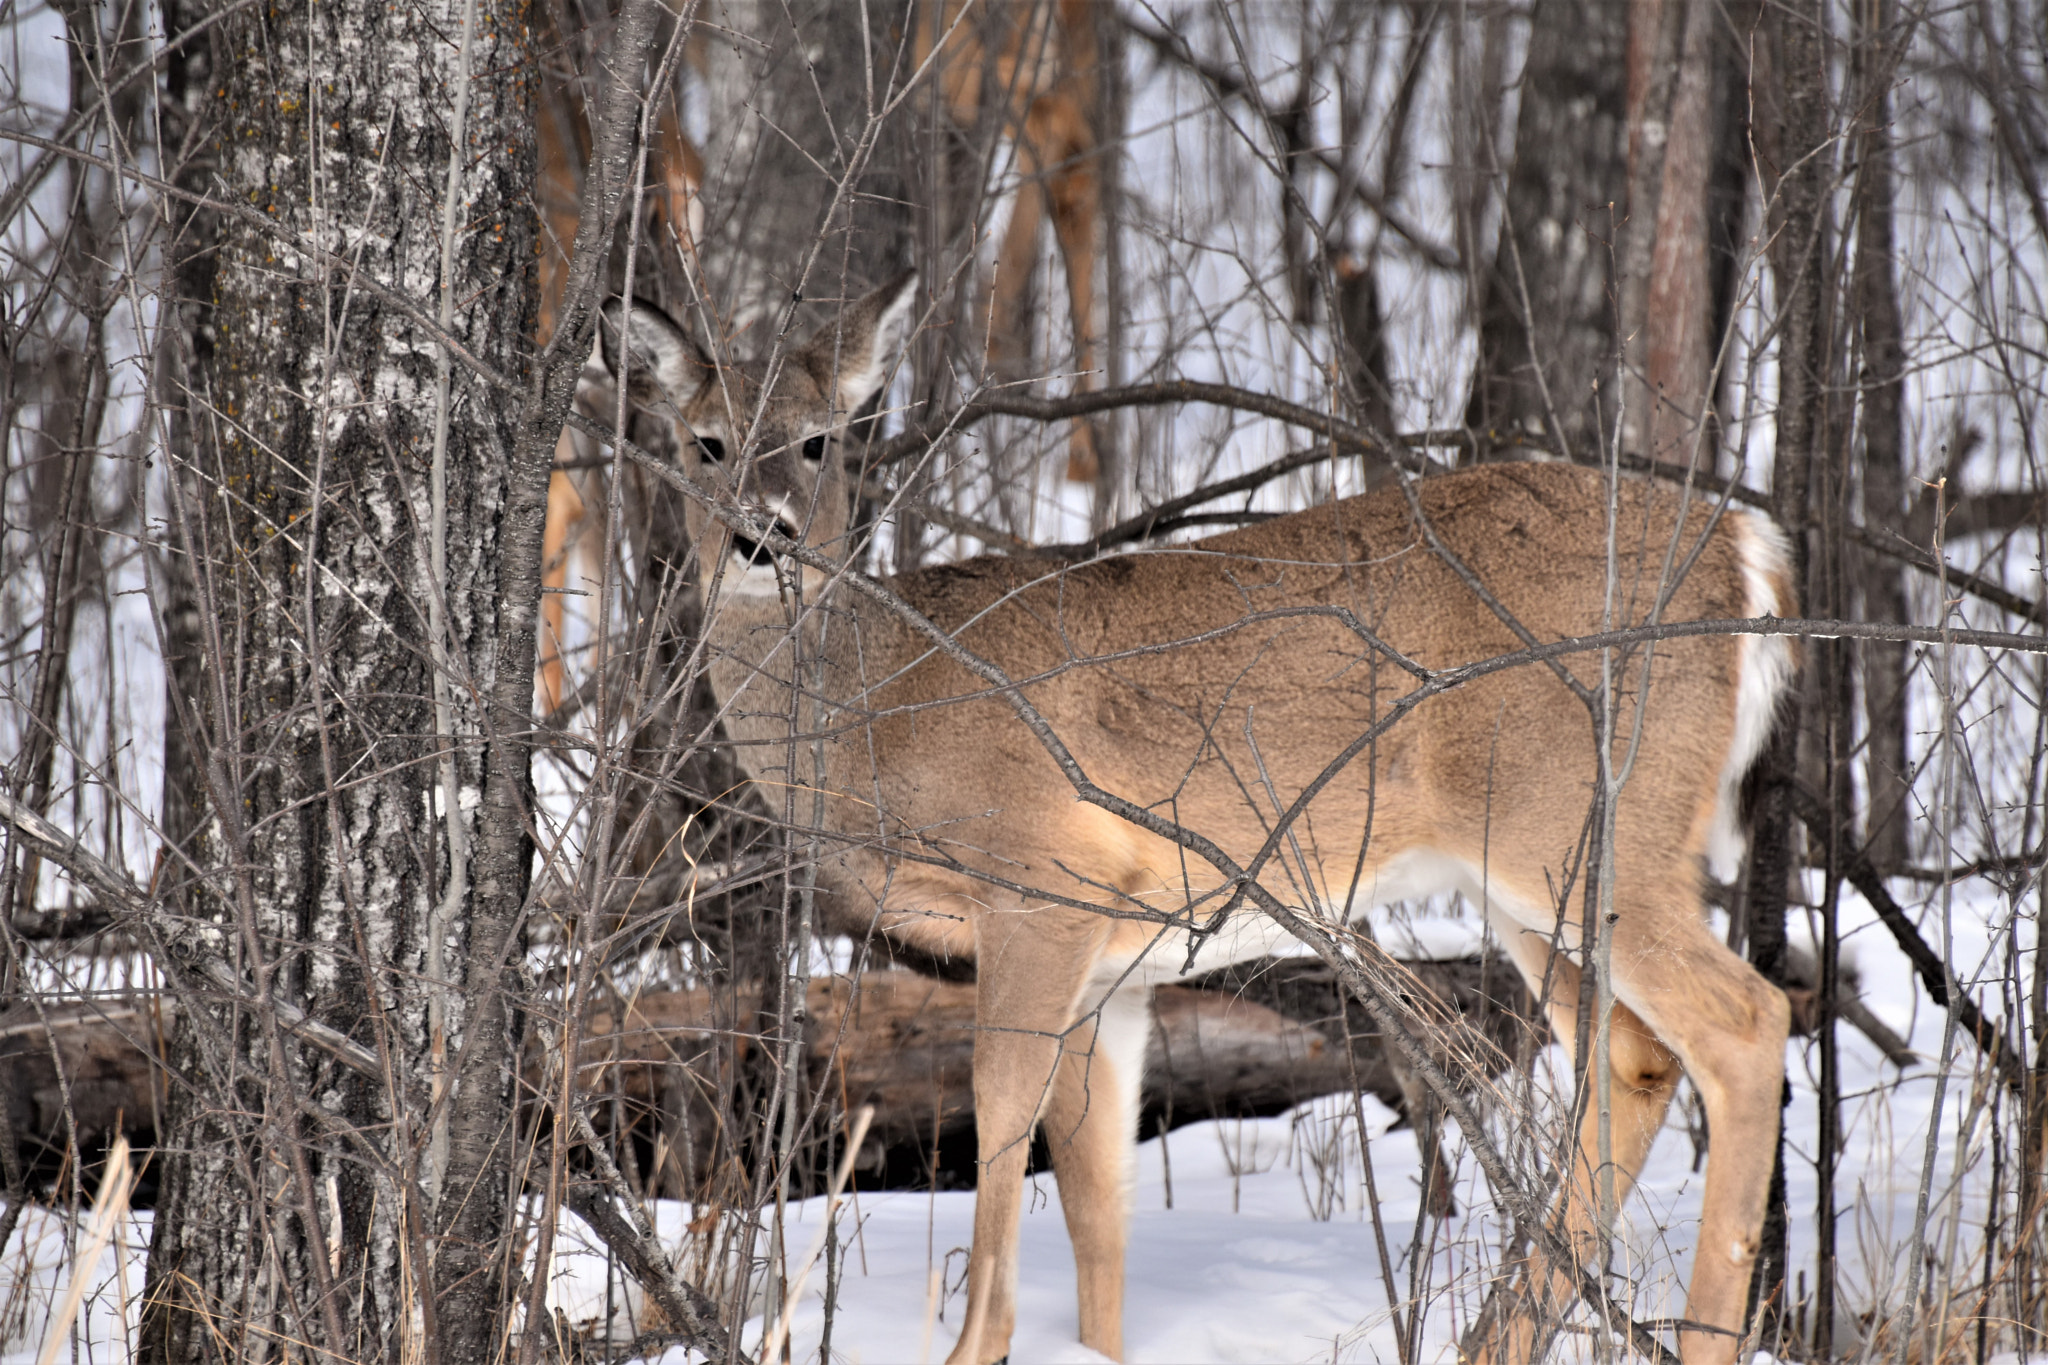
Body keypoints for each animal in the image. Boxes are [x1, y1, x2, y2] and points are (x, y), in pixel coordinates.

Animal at [593, 271, 1797, 1365]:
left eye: (820, 441)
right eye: (704, 444)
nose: (763, 540)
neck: (878, 705)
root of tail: (1748, 552)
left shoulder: (1045, 886)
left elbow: (998, 1130)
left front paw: (977, 1342)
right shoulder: (1114, 975)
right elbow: (1097, 1209)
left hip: (1584, 835)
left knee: (1746, 1020)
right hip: (1531, 871)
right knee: (1630, 1059)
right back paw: (1493, 1341)